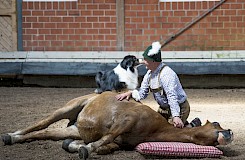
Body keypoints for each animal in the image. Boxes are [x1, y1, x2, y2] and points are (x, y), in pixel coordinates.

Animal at [1, 90, 234, 159]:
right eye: (216, 123)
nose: (230, 132)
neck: (156, 128)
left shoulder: (120, 142)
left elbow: (107, 146)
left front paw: (75, 146)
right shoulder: (125, 122)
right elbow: (106, 138)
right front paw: (85, 150)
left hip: (73, 128)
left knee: (43, 133)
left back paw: (14, 138)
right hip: (65, 109)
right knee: (39, 125)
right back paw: (11, 135)